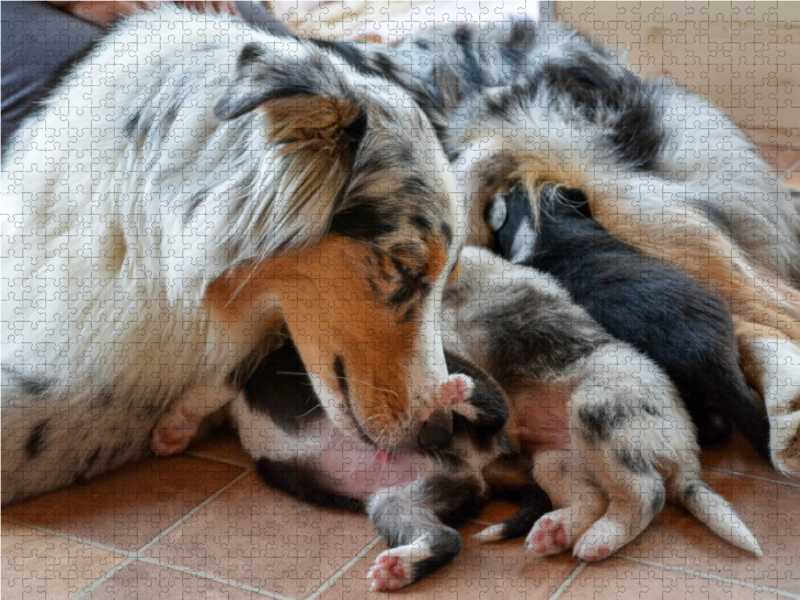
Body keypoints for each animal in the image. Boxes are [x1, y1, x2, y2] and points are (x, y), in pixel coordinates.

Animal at [228, 338, 548, 592]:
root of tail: (487, 461)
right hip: (401, 500)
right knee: (447, 537)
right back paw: (399, 569)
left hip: (454, 415)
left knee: (495, 412)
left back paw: (461, 393)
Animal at [444, 246, 764, 560]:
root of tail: (688, 446)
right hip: (556, 461)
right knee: (594, 498)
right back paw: (556, 533)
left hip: (597, 413)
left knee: (647, 493)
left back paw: (600, 538)